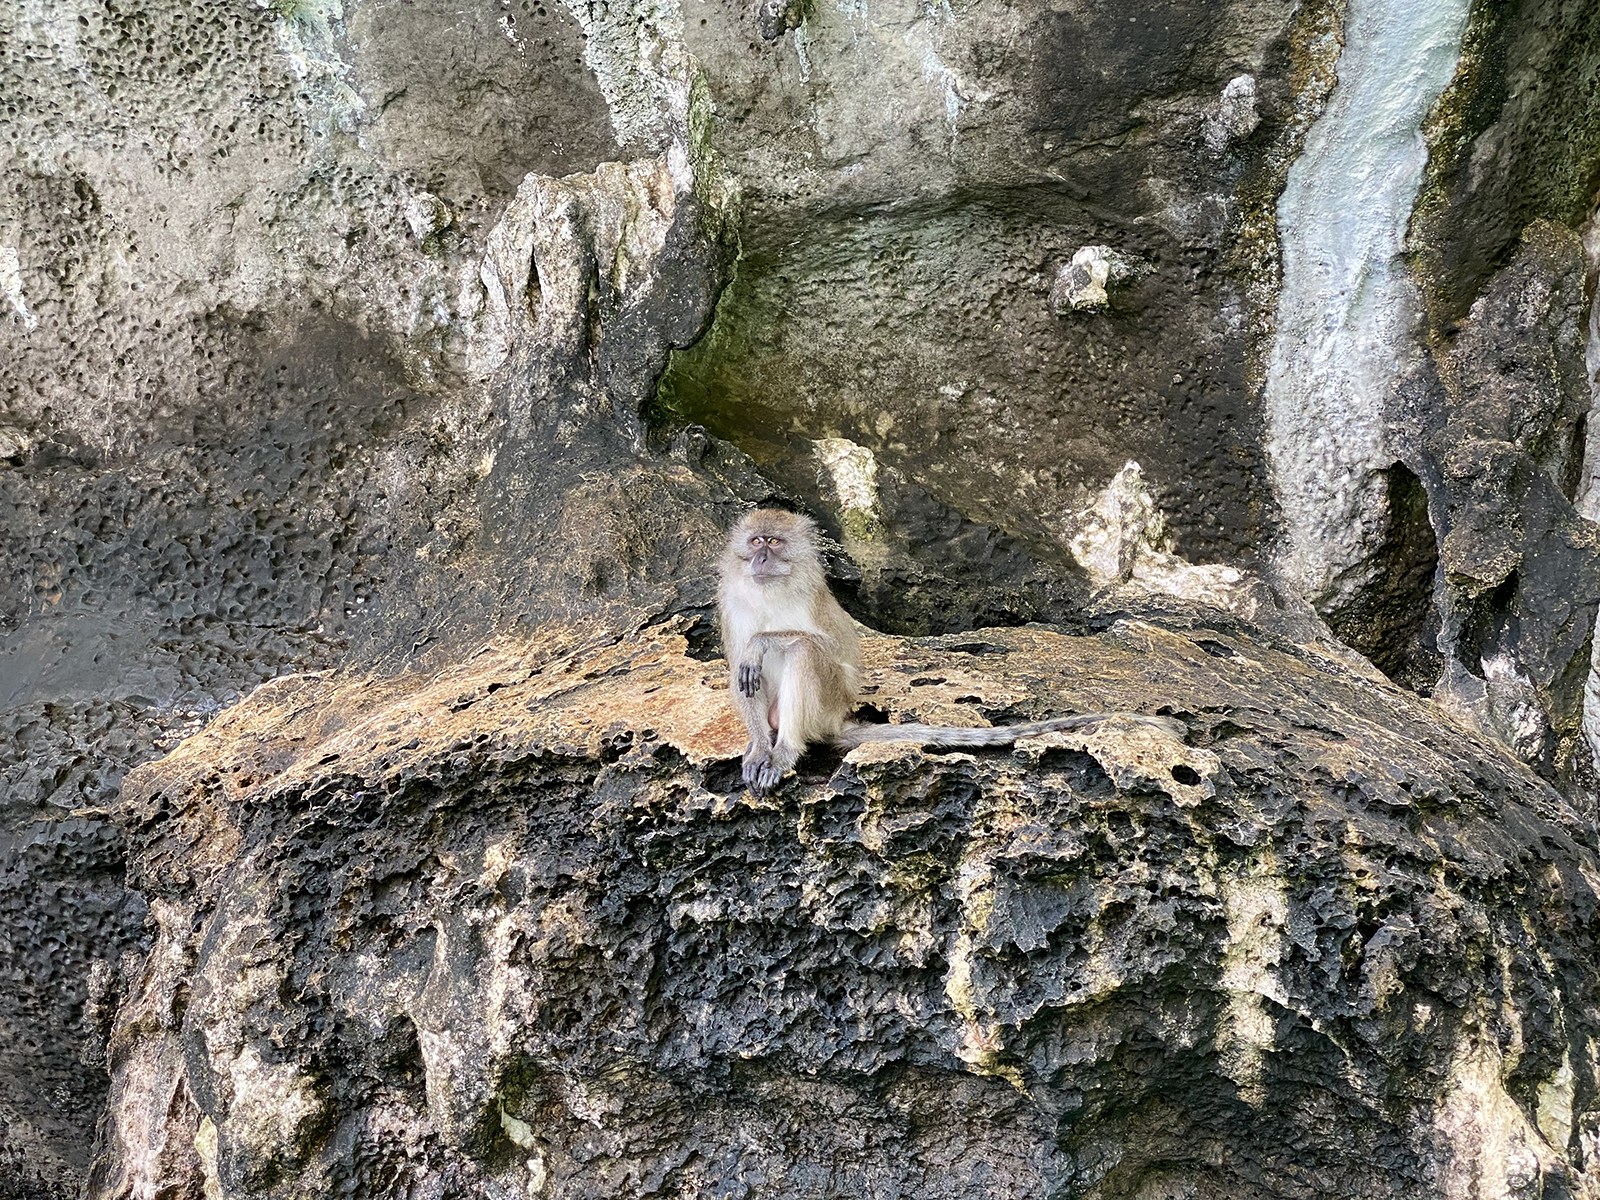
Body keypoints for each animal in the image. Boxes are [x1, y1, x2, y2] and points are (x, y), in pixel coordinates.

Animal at [713, 508, 1177, 800]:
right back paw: (769, 744)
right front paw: (758, 746)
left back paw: (786, 749)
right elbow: (738, 664)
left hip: (827, 703)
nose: (759, 558)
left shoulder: (811, 600)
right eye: (756, 540)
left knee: (805, 652)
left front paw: (762, 642)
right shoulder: (732, 602)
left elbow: (823, 651)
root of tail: (833, 721)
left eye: (774, 541)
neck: (771, 589)